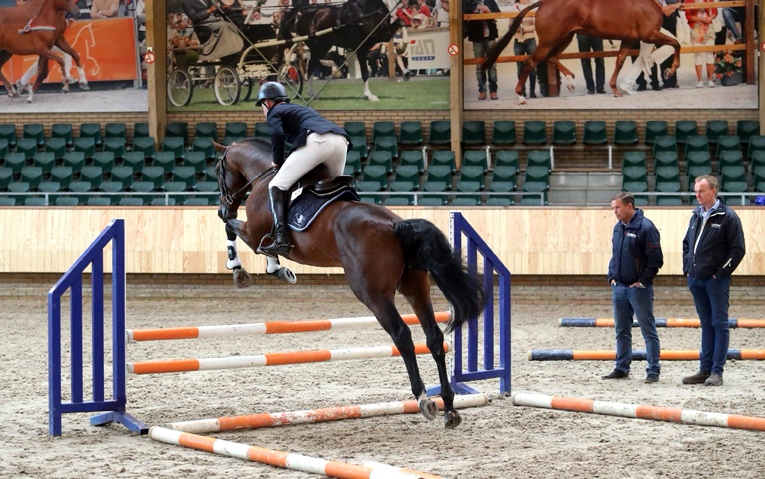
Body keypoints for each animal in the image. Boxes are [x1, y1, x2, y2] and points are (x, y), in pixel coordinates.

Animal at [212, 138, 487, 428]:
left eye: (219, 172)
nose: (223, 205)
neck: (265, 175)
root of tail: (396, 225)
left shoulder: (252, 232)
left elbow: (231, 227)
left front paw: (241, 269)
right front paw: (279, 269)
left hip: (372, 294)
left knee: (402, 334)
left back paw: (424, 399)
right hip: (415, 287)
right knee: (434, 336)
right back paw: (449, 407)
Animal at [481, 0, 681, 104]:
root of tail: (543, 3)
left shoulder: (629, 39)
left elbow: (619, 61)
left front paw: (616, 89)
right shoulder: (650, 34)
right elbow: (676, 43)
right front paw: (670, 70)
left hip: (565, 38)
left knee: (552, 57)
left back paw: (570, 81)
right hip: (550, 40)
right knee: (532, 61)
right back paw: (521, 96)